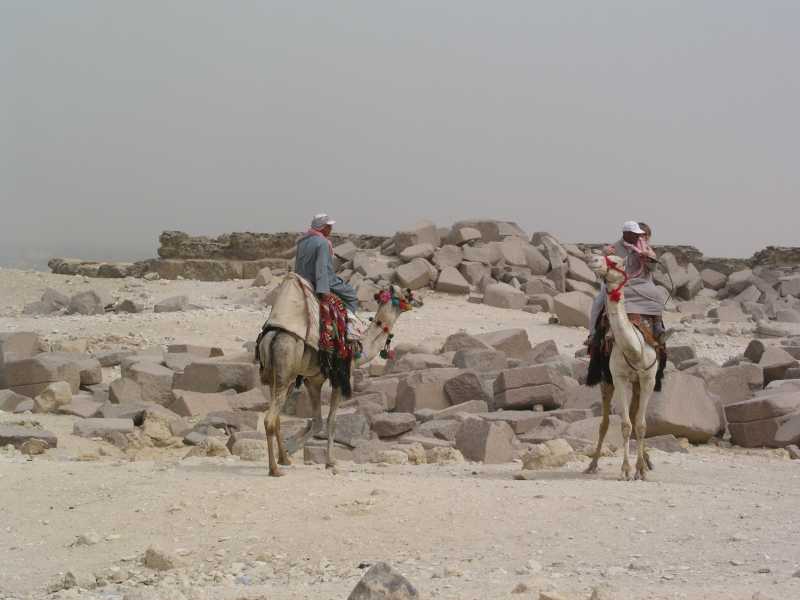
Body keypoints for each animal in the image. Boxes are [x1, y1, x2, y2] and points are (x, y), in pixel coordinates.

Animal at [257, 285, 419, 477]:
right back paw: (274, 469)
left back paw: (282, 460)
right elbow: (331, 421)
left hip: (275, 376)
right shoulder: (340, 379)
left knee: (276, 418)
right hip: (286, 371)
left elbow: (317, 421)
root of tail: (272, 336)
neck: (359, 347)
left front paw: (289, 451)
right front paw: (331, 462)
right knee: (269, 419)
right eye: (406, 294)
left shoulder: (313, 380)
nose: (418, 299)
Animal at [584, 254, 660, 481]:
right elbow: (625, 424)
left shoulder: (648, 379)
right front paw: (626, 469)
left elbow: (641, 425)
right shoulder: (619, 378)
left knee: (635, 417)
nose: (593, 258)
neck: (635, 349)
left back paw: (646, 461)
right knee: (604, 423)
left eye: (616, 261)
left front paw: (641, 470)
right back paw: (592, 464)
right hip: (606, 381)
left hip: (637, 384)